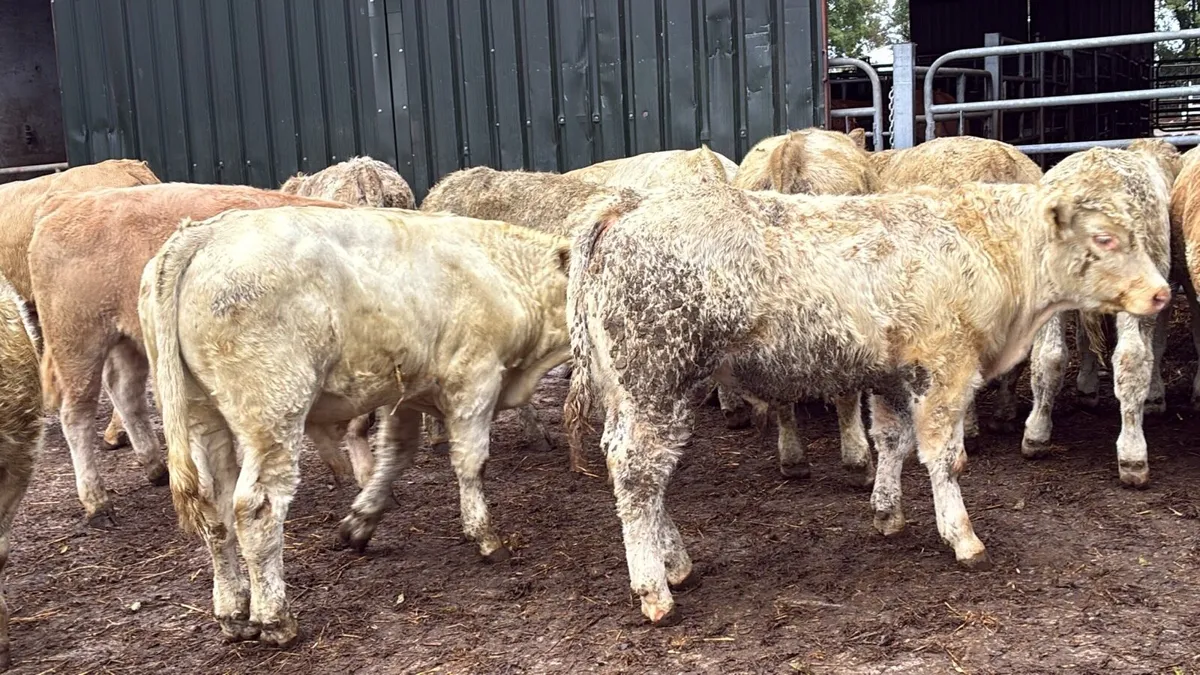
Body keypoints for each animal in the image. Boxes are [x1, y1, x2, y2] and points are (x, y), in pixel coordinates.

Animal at [29, 184, 355, 527]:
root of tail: (66, 203)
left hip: (126, 342)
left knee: (125, 391)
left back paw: (156, 469)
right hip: (78, 344)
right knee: (76, 415)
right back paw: (98, 504)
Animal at [142, 206, 572, 647]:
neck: (503, 272)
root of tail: (204, 232)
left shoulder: (408, 391)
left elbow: (397, 455)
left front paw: (360, 522)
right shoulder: (475, 379)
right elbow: (471, 463)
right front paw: (485, 536)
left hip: (201, 417)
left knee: (215, 509)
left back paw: (233, 612)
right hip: (273, 413)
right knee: (255, 508)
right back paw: (275, 619)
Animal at [1022, 141, 1179, 487]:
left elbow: (1081, 342)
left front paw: (1087, 388)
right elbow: (1155, 348)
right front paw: (1155, 397)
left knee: (1049, 356)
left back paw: (1037, 432)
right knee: (1132, 359)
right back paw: (1133, 455)